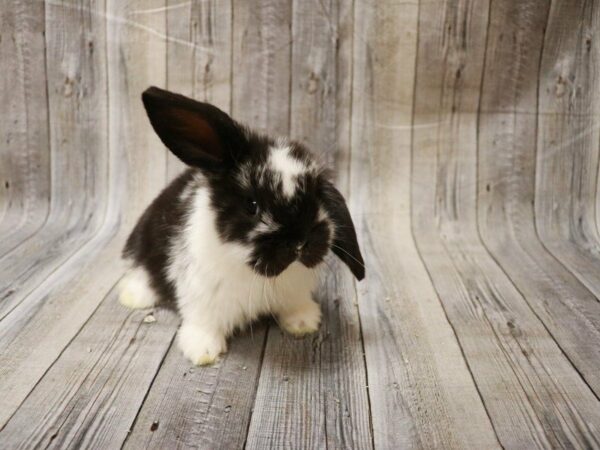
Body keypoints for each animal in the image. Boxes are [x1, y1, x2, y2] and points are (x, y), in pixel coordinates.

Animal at [116, 85, 360, 366]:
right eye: (252, 205)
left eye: (317, 196)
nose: (300, 242)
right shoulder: (201, 294)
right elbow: (203, 323)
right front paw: (203, 351)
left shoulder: (294, 292)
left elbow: (294, 305)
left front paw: (304, 323)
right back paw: (132, 297)